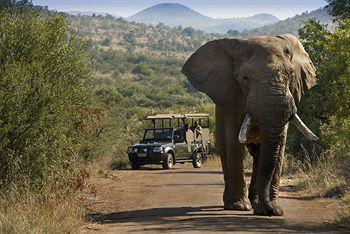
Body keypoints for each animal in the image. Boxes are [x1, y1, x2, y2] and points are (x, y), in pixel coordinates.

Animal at [182, 34, 318, 216]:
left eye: (291, 76)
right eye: (245, 78)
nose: (270, 210)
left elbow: (280, 146)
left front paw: (274, 210)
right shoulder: (230, 99)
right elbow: (234, 143)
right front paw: (239, 206)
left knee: (259, 153)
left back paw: (255, 202)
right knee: (226, 149)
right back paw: (233, 202)